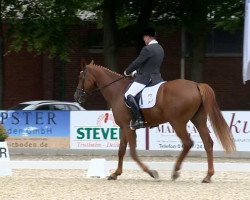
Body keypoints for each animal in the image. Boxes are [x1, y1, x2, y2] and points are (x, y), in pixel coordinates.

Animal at [74, 59, 236, 183]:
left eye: (81, 77)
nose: (77, 97)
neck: (117, 91)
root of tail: (196, 85)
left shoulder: (127, 127)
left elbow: (132, 152)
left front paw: (152, 172)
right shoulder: (125, 127)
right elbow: (121, 150)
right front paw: (115, 174)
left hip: (177, 122)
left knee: (187, 143)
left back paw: (175, 172)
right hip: (199, 120)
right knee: (208, 143)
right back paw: (207, 176)